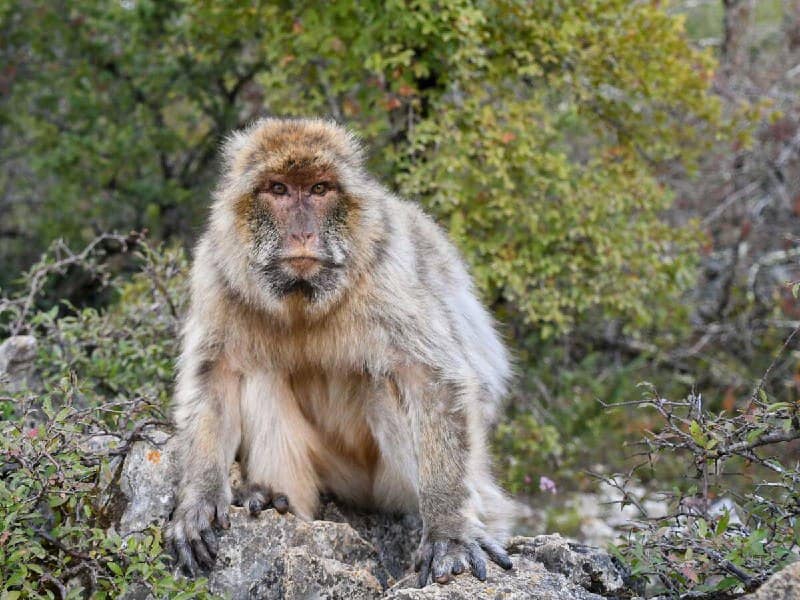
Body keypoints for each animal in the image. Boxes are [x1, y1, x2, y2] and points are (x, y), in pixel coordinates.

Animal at [167, 117, 516, 587]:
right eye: (278, 189)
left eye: (319, 189)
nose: (303, 233)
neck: (303, 297)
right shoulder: (218, 270)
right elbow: (215, 376)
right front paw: (200, 497)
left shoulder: (385, 269)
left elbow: (431, 380)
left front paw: (449, 530)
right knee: (259, 372)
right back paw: (274, 499)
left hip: (391, 485)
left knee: (384, 384)